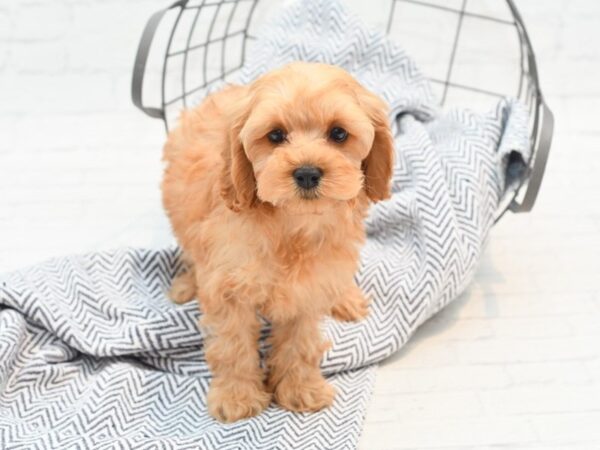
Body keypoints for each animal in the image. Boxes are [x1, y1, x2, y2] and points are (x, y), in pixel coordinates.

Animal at [162, 60, 394, 422]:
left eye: (338, 133)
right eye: (275, 135)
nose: (307, 172)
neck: (291, 226)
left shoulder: (307, 288)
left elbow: (300, 343)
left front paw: (301, 389)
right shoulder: (229, 288)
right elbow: (232, 345)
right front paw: (237, 396)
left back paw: (345, 298)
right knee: (190, 253)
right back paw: (187, 284)